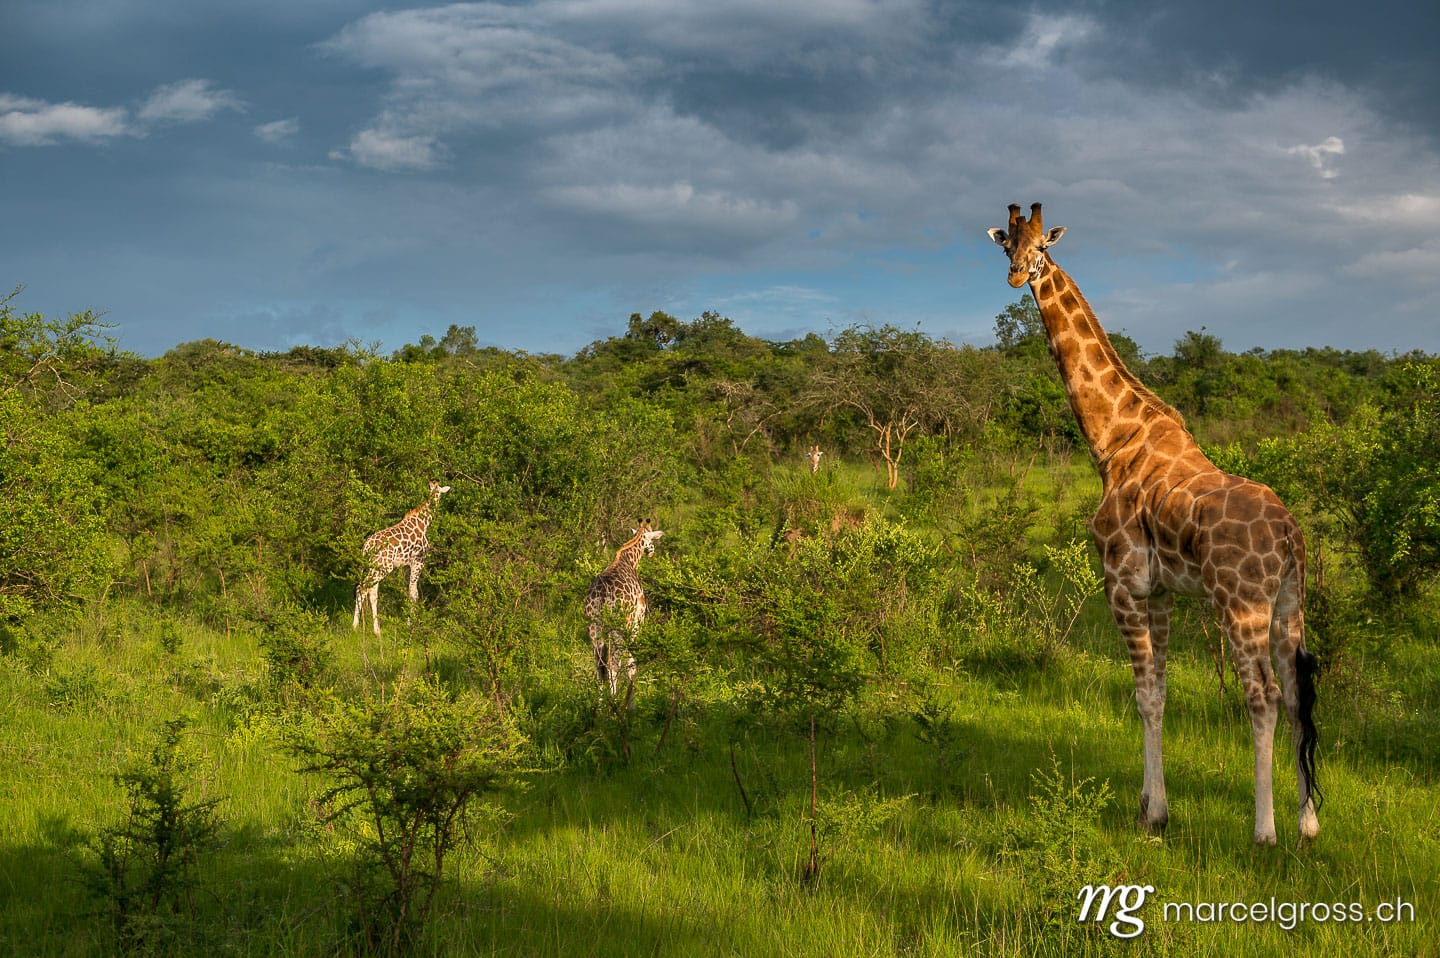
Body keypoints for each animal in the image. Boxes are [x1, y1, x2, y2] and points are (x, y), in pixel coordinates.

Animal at [352, 479, 450, 636]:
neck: (424, 523)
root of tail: (366, 548)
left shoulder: (406, 565)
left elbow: (410, 591)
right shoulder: (418, 561)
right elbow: (413, 593)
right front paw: (411, 626)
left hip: (373, 567)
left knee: (370, 591)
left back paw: (371, 629)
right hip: (383, 568)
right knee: (363, 588)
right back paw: (361, 627)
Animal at [583, 520, 664, 701]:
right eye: (651, 538)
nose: (652, 551)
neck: (629, 560)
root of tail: (602, 596)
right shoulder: (637, 621)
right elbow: (631, 664)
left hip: (594, 627)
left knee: (599, 667)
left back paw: (600, 706)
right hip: (618, 628)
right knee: (613, 665)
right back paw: (614, 703)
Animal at [987, 203, 1320, 844]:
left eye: (1041, 246)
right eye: (1005, 246)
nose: (1017, 276)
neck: (1114, 442)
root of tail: (1290, 534)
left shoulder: (1122, 583)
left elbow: (1143, 695)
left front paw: (1155, 813)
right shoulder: (1162, 590)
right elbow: (1161, 692)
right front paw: (1149, 804)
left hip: (1241, 603)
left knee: (1263, 695)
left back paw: (1265, 830)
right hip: (1290, 603)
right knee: (1295, 693)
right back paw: (1307, 823)